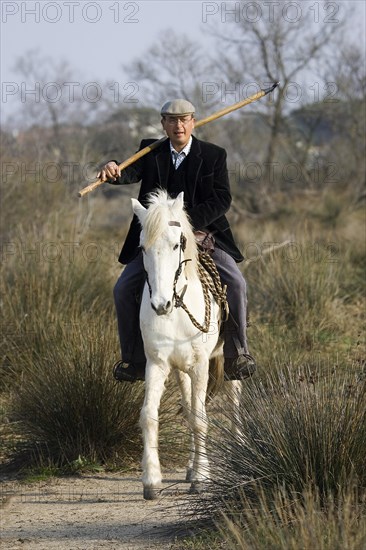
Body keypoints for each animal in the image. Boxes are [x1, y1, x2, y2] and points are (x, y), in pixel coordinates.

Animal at [130, 189, 227, 500]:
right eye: (142, 248)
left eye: (177, 245)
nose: (161, 304)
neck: (177, 310)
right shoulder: (157, 364)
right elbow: (150, 415)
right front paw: (151, 480)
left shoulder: (201, 365)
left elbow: (200, 419)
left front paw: (203, 477)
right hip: (181, 370)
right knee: (188, 404)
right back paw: (189, 467)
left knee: (233, 400)